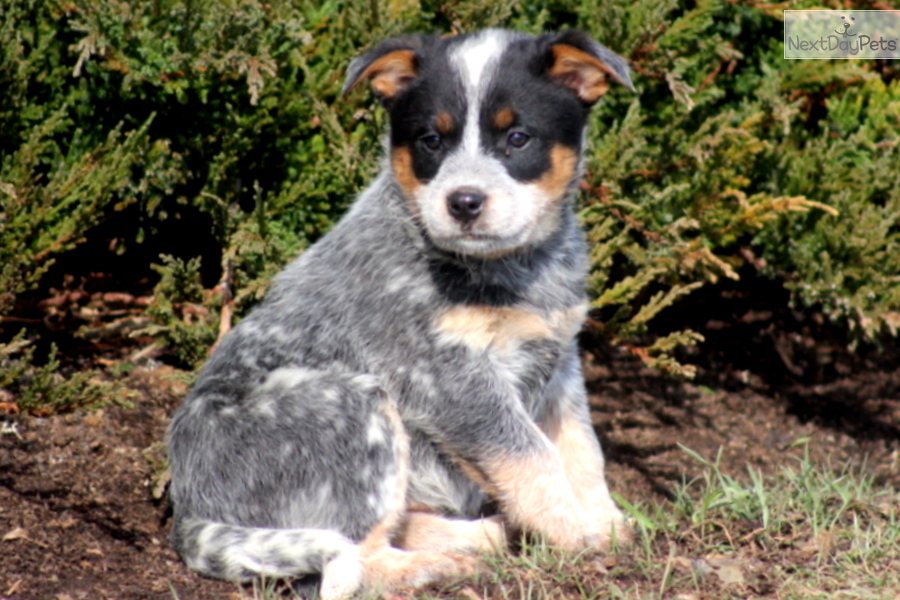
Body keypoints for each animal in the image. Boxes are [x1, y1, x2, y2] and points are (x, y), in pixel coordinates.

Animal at [167, 28, 632, 600]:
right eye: (432, 140)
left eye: (518, 138)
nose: (463, 201)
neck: (513, 270)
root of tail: (188, 515)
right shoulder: (448, 377)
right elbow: (531, 455)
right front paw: (576, 534)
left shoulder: (559, 357)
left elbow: (581, 449)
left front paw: (606, 521)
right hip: (352, 404)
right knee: (357, 557)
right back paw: (441, 566)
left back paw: (481, 536)